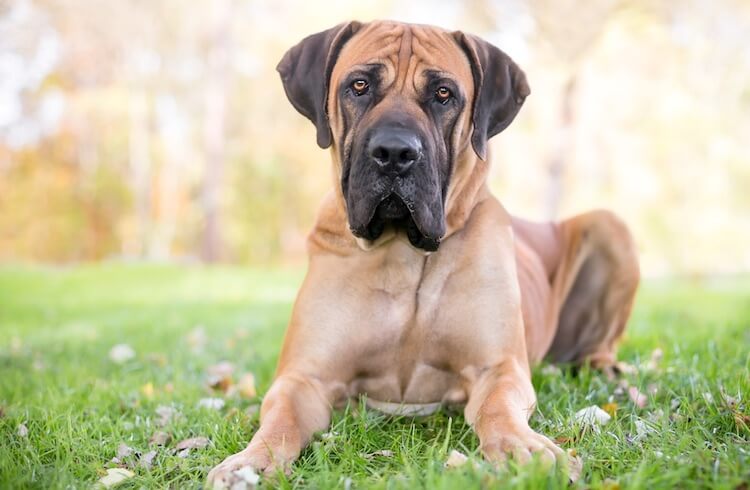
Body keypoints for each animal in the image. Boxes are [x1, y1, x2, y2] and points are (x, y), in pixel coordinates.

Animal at [207, 20, 640, 486]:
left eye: (443, 93)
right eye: (359, 86)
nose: (395, 153)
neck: (403, 252)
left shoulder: (498, 366)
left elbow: (498, 405)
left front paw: (522, 447)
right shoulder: (304, 376)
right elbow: (281, 417)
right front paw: (251, 462)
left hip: (610, 226)